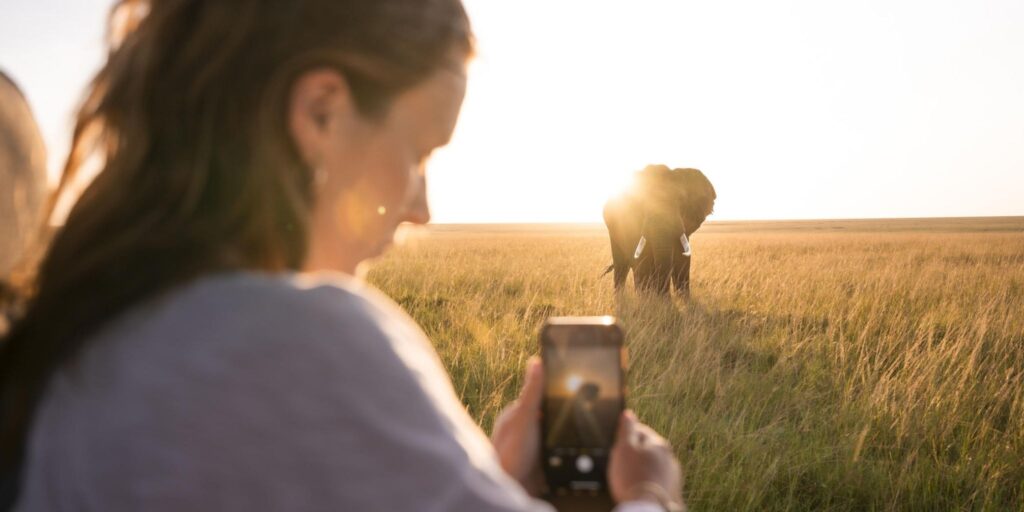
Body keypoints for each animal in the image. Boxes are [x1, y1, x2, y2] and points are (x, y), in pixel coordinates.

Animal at [602, 164, 715, 296]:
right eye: (641, 203)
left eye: (681, 201)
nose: (664, 296)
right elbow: (643, 259)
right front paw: (649, 298)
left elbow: (682, 258)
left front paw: (680, 298)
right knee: (622, 265)